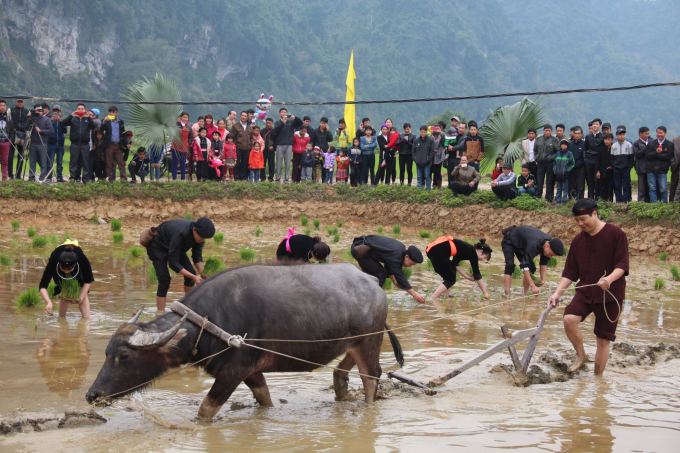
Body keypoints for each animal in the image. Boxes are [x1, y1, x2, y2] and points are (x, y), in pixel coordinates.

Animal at [85, 264, 404, 418]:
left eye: (124, 357)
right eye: (106, 353)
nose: (92, 394)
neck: (211, 322)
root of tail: (373, 282)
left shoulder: (233, 371)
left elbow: (205, 410)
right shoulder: (251, 371)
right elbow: (264, 399)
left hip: (370, 342)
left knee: (371, 376)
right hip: (353, 342)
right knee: (342, 369)